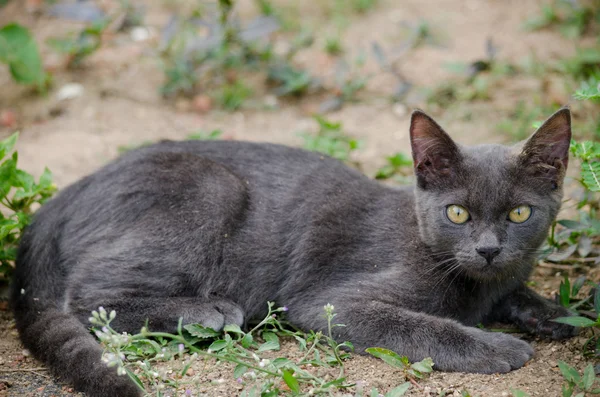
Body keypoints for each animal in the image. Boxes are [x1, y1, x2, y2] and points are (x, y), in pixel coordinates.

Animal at [11, 106, 576, 394]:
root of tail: (63, 196)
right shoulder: (329, 302)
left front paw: (554, 313)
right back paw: (209, 311)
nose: (488, 250)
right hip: (211, 189)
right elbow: (421, 326)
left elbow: (519, 291)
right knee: (90, 297)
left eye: (519, 214)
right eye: (457, 214)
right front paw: (499, 348)